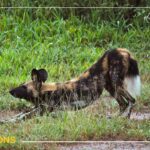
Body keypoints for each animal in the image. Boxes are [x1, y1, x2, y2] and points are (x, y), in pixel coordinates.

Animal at [9, 48, 141, 117]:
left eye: (23, 87)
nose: (10, 91)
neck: (46, 92)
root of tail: (123, 51)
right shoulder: (40, 108)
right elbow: (20, 115)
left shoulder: (44, 110)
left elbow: (22, 117)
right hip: (111, 87)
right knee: (123, 104)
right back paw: (116, 118)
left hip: (116, 84)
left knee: (132, 100)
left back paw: (124, 118)